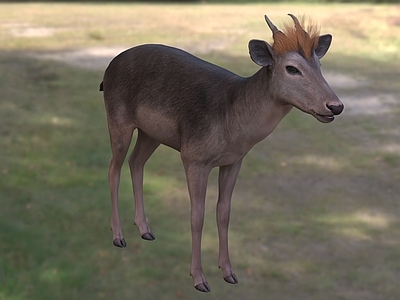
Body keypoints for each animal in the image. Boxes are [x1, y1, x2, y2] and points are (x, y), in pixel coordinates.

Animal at [100, 12, 344, 292]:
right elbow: (197, 215)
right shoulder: (194, 156)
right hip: (118, 117)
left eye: (319, 65)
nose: (335, 106)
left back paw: (145, 229)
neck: (232, 121)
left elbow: (224, 213)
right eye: (291, 68)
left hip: (151, 133)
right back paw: (118, 236)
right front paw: (199, 279)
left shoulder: (234, 161)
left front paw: (229, 272)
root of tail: (107, 70)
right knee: (113, 167)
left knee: (136, 162)